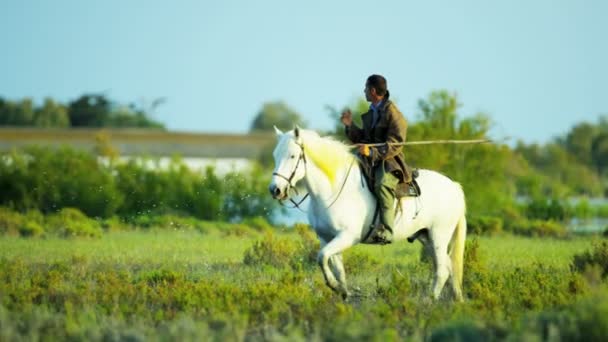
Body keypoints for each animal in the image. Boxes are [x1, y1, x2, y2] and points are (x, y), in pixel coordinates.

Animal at [268, 127, 468, 300]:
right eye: (275, 155)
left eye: (292, 155)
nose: (275, 190)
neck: (333, 190)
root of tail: (454, 186)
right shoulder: (327, 238)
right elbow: (336, 268)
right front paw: (343, 293)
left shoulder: (347, 237)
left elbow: (322, 256)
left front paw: (333, 285)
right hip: (425, 237)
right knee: (449, 266)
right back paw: (456, 300)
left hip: (439, 236)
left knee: (442, 270)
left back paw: (429, 301)